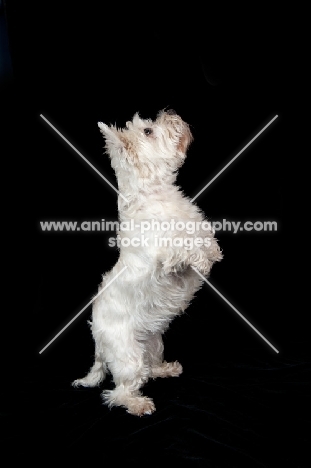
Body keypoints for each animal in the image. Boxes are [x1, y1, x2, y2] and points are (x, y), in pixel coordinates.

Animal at [72, 110, 223, 416]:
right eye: (149, 131)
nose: (171, 113)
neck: (154, 193)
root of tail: (98, 345)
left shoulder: (197, 227)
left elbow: (205, 237)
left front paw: (213, 251)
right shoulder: (166, 257)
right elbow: (187, 248)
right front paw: (203, 260)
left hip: (153, 344)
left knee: (149, 369)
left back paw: (166, 369)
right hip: (128, 356)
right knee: (119, 391)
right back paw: (138, 404)